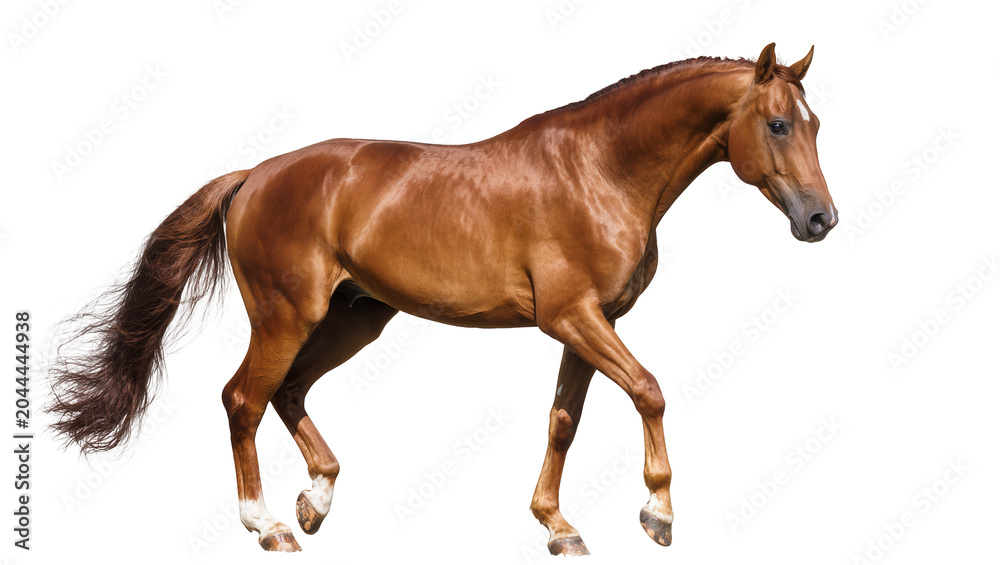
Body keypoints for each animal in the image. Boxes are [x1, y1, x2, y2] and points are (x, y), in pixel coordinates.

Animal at [47, 43, 836, 555]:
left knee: (288, 392)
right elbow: (649, 389)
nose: (821, 219)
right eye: (777, 124)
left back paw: (316, 502)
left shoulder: (587, 324)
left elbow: (564, 420)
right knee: (244, 398)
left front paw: (559, 526)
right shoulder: (573, 318)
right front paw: (658, 513)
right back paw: (268, 524)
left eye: (816, 123)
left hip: (354, 319)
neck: (599, 170)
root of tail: (254, 175)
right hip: (286, 316)